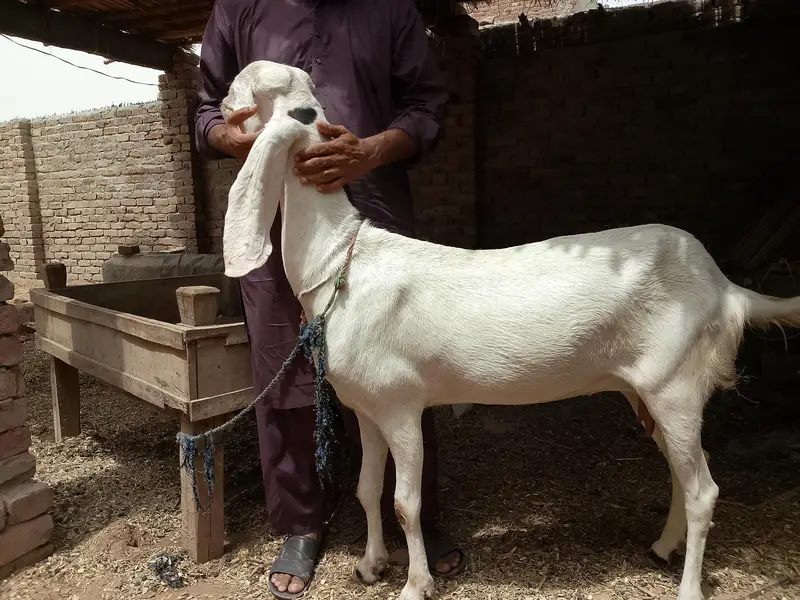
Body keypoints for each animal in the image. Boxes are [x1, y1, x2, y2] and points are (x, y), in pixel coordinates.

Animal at [221, 60, 800, 600]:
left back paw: (687, 585)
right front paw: (369, 566)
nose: (220, 106)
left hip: (675, 383)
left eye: (244, 88)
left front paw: (415, 584)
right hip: (650, 392)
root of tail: (726, 288)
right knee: (685, 474)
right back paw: (662, 546)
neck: (342, 258)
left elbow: (405, 503)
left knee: (704, 490)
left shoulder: (401, 403)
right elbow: (368, 490)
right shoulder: (366, 405)